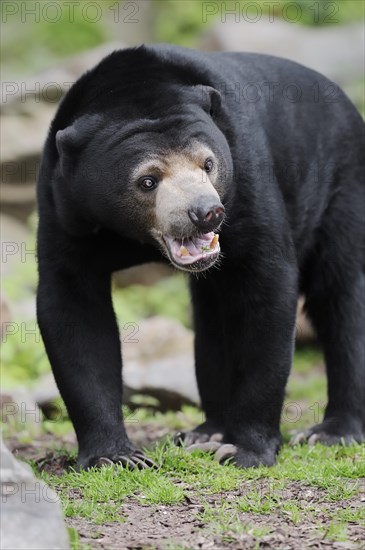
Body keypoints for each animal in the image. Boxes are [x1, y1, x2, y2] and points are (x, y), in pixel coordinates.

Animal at [35, 45, 362, 472]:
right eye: (148, 180)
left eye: (209, 163)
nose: (207, 212)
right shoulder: (65, 207)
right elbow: (73, 309)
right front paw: (115, 456)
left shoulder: (248, 178)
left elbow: (267, 285)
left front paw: (244, 450)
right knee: (212, 319)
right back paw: (206, 431)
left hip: (343, 184)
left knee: (342, 297)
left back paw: (332, 432)